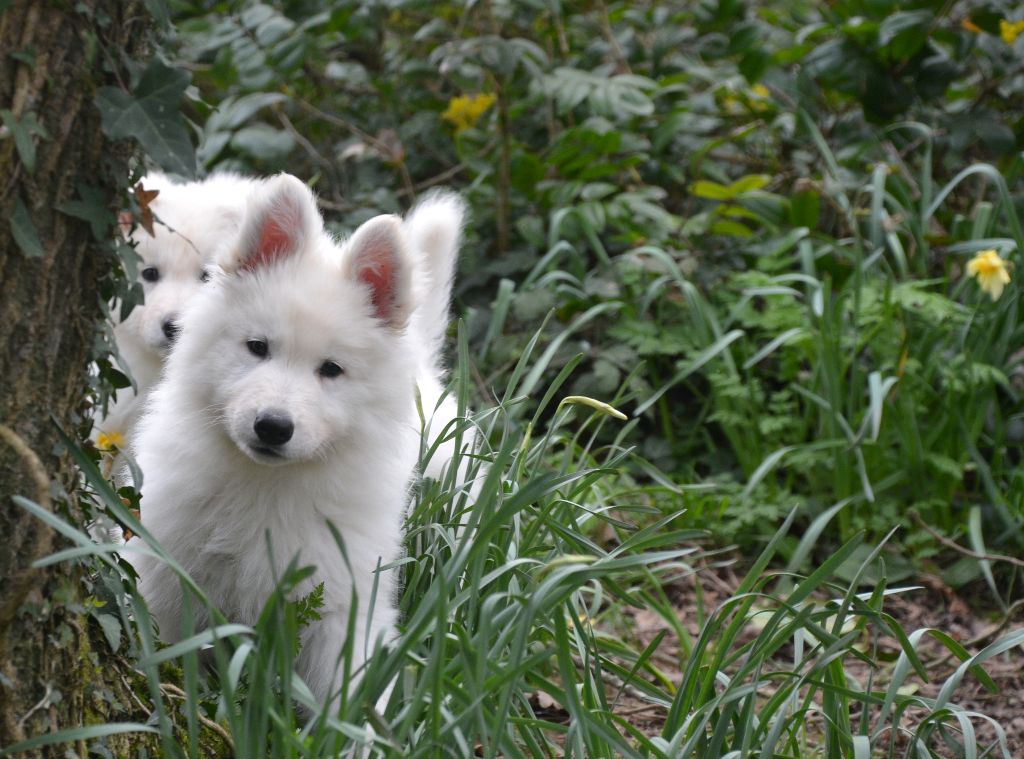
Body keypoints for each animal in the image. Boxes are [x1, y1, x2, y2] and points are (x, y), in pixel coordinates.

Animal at [129, 173, 423, 704]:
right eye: (258, 347)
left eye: (331, 370)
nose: (272, 426)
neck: (264, 485)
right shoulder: (164, 571)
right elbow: (164, 644)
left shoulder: (342, 599)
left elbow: (353, 685)